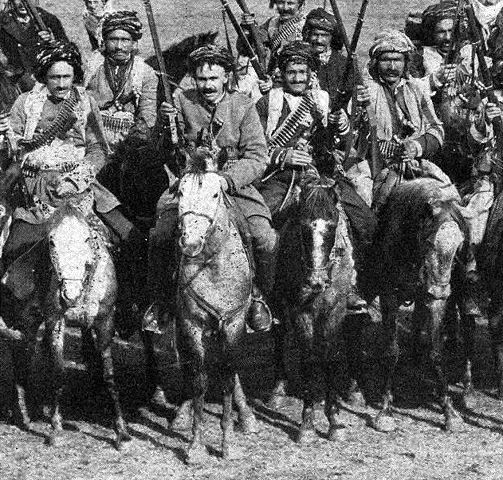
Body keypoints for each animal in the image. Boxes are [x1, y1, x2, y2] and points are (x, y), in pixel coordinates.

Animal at [0, 203, 131, 450]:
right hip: (24, 317)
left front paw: (121, 430)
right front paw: (55, 428)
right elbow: (58, 372)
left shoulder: (105, 321)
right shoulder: (55, 320)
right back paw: (22, 412)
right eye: (51, 242)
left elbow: (109, 375)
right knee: (21, 354)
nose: (70, 295)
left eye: (87, 239)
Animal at [174, 149, 258, 462]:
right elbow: (199, 380)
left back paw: (246, 417)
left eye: (215, 194)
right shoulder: (191, 324)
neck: (212, 265)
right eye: (180, 191)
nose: (190, 243)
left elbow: (227, 378)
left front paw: (227, 443)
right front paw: (196, 446)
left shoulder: (234, 325)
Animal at [372, 178, 474, 434]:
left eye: (459, 245)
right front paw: (385, 411)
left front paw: (449, 411)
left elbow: (437, 353)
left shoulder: (435, 301)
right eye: (429, 241)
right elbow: (391, 351)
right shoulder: (388, 296)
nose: (441, 291)